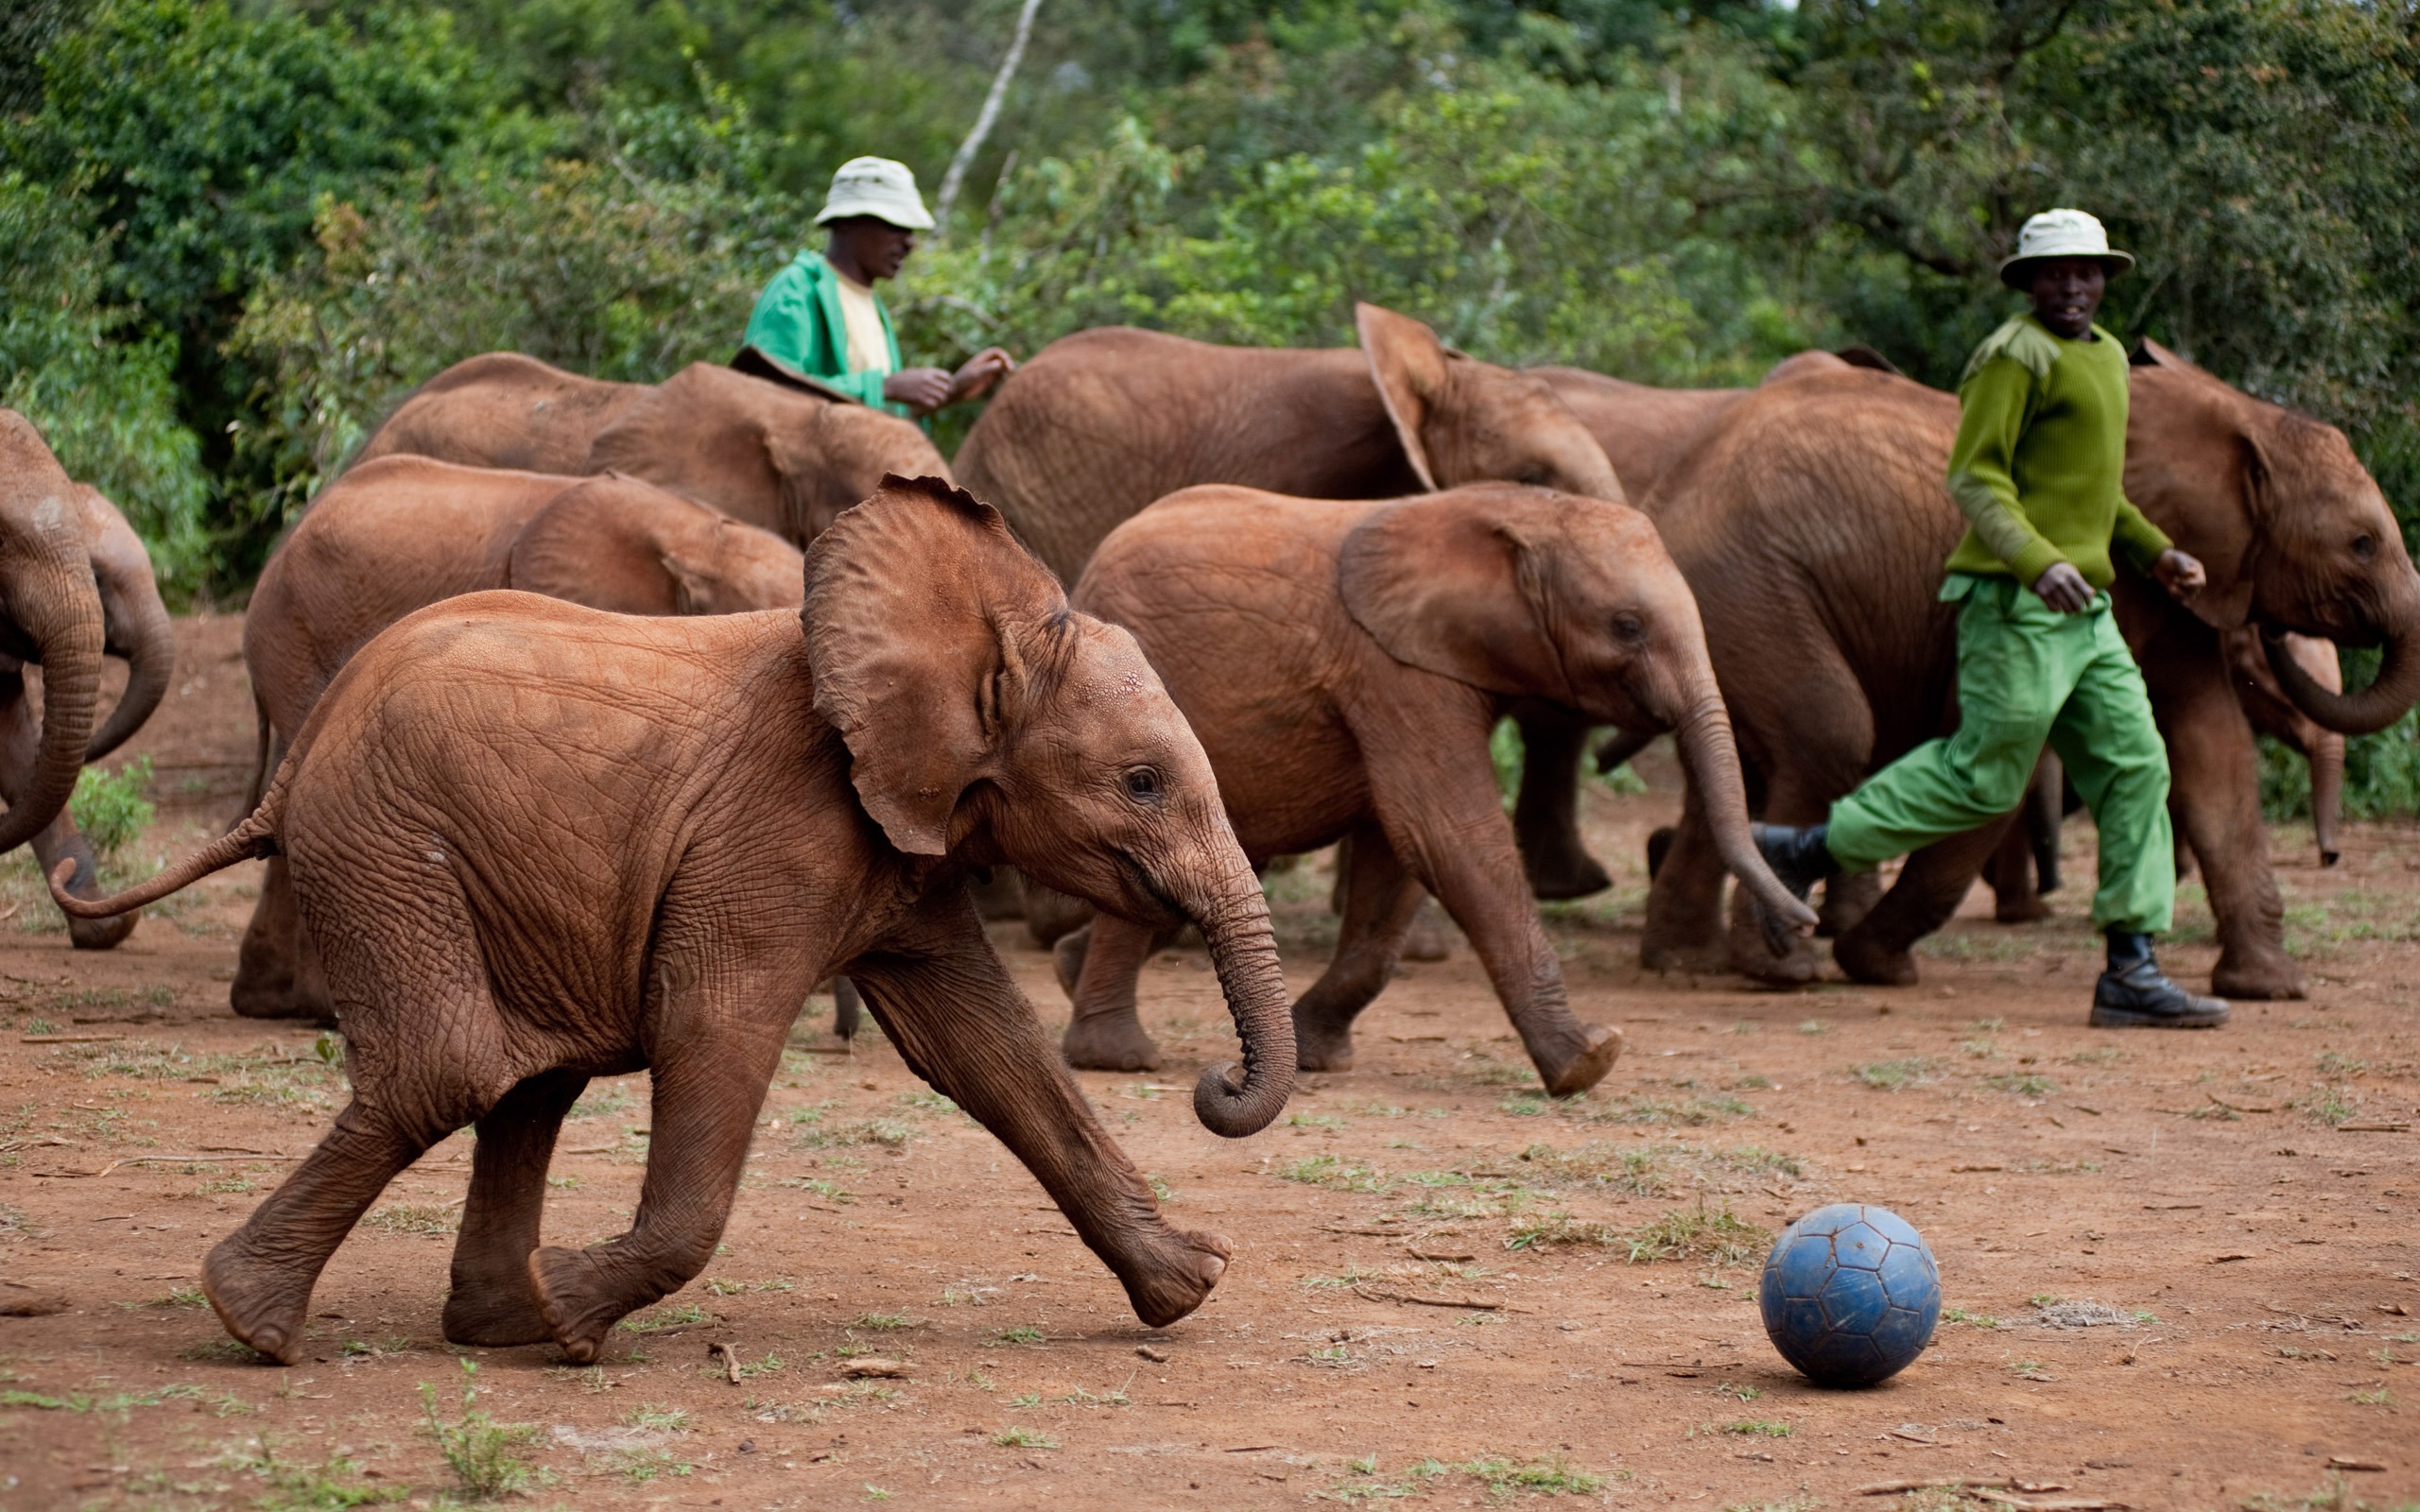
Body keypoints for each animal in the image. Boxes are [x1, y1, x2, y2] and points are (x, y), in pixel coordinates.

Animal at [1060, 489, 1820, 1089]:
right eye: (1626, 627)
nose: (1802, 928)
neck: (1516, 511)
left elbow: (1396, 858)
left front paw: (1317, 1056)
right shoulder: (1397, 671)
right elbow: (1447, 834)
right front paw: (1588, 1062)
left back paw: (1070, 974)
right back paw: (1116, 1058)